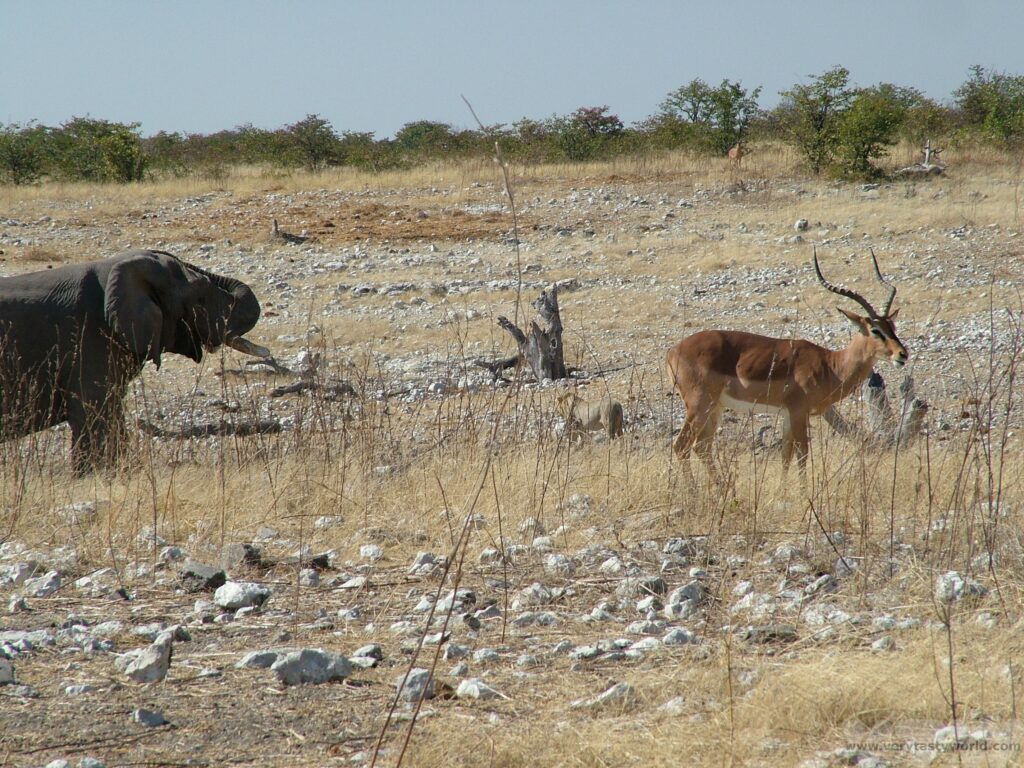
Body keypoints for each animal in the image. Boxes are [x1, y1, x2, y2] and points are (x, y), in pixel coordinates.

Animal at [666, 249, 908, 474]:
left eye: (892, 327)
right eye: (875, 330)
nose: (902, 354)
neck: (830, 365)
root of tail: (673, 350)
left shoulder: (788, 416)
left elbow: (785, 457)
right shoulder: (799, 413)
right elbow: (802, 456)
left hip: (714, 408)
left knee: (701, 448)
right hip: (699, 405)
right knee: (682, 446)